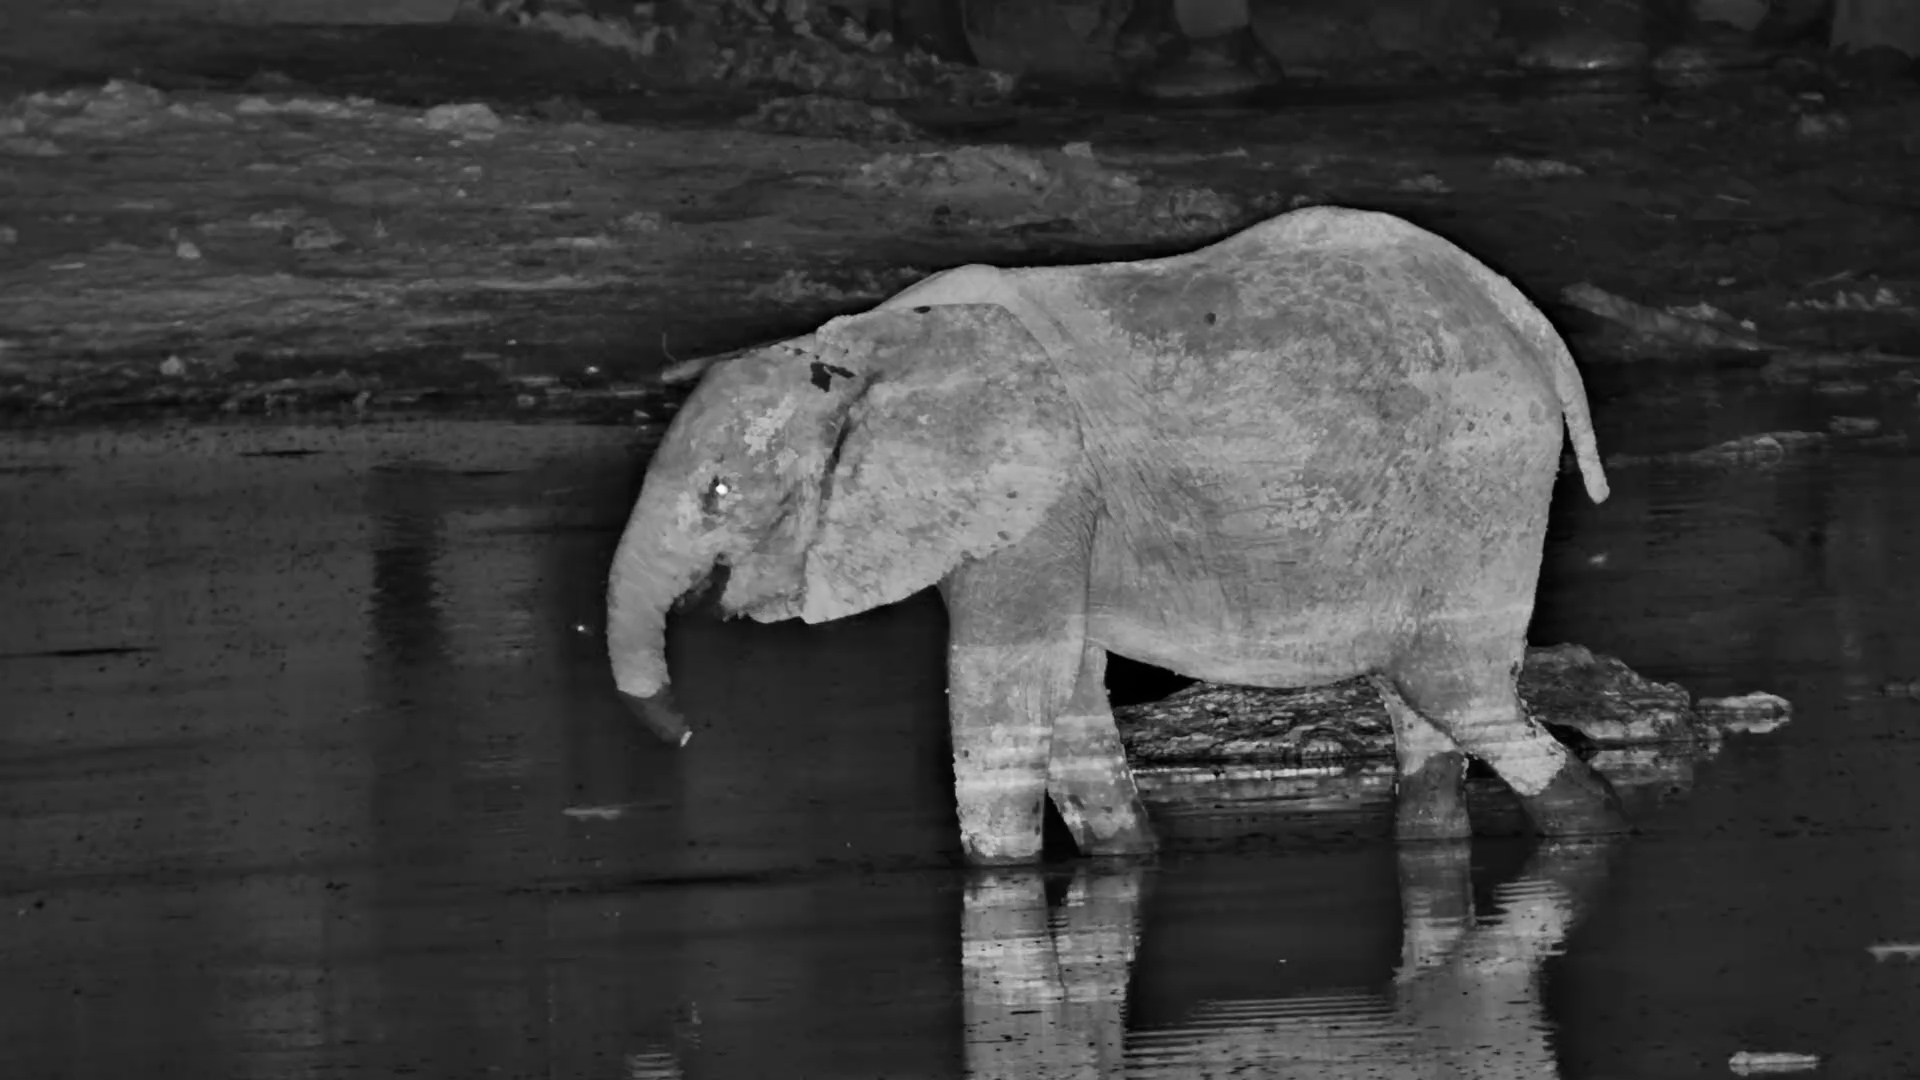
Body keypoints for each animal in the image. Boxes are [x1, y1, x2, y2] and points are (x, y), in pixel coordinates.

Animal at [605, 204, 1629, 866]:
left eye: (719, 491)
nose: (689, 733)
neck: (866, 345)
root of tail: (1520, 312)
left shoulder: (1044, 492)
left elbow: (1009, 681)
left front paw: (1001, 882)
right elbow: (1071, 685)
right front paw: (1124, 861)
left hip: (1480, 469)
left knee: (1451, 685)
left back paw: (1595, 826)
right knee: (1422, 700)